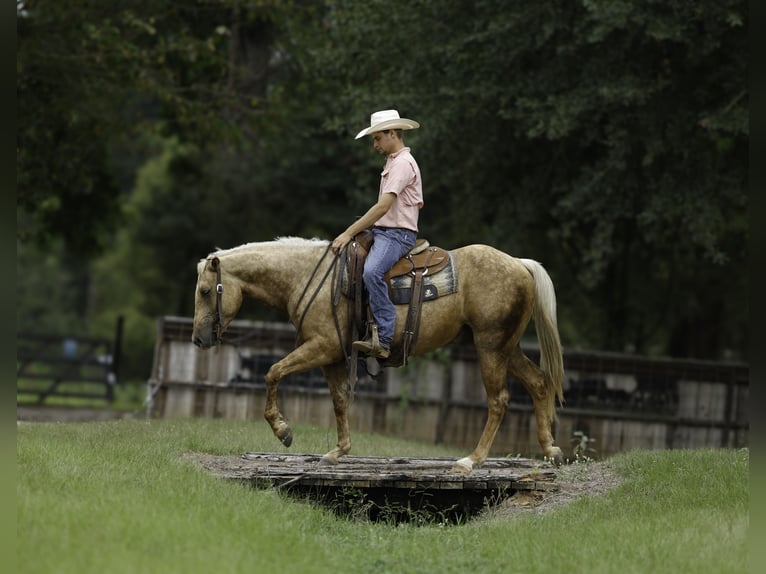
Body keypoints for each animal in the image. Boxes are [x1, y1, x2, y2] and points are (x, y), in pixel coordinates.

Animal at [191, 236, 564, 474]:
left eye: (206, 291)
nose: (198, 339)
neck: (308, 277)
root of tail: (519, 264)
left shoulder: (321, 346)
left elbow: (273, 372)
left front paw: (283, 430)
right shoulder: (332, 356)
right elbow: (340, 401)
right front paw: (337, 452)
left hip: (489, 346)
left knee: (499, 400)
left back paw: (471, 460)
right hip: (506, 347)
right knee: (539, 383)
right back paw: (551, 451)